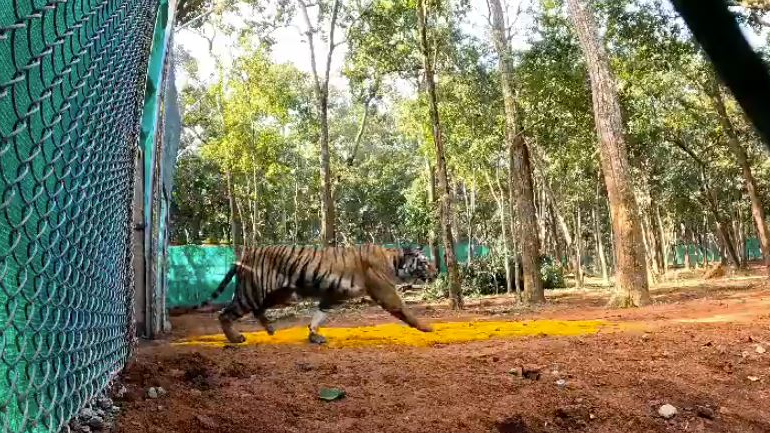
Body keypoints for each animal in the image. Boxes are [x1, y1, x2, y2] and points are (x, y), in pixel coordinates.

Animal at [191, 244, 438, 344]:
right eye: (425, 262)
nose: (436, 272)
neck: (395, 261)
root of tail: (245, 255)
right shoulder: (386, 292)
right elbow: (405, 309)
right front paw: (427, 327)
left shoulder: (333, 296)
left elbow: (318, 316)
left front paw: (313, 335)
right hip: (253, 292)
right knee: (225, 313)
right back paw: (235, 338)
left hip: (280, 294)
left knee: (257, 310)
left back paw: (270, 329)